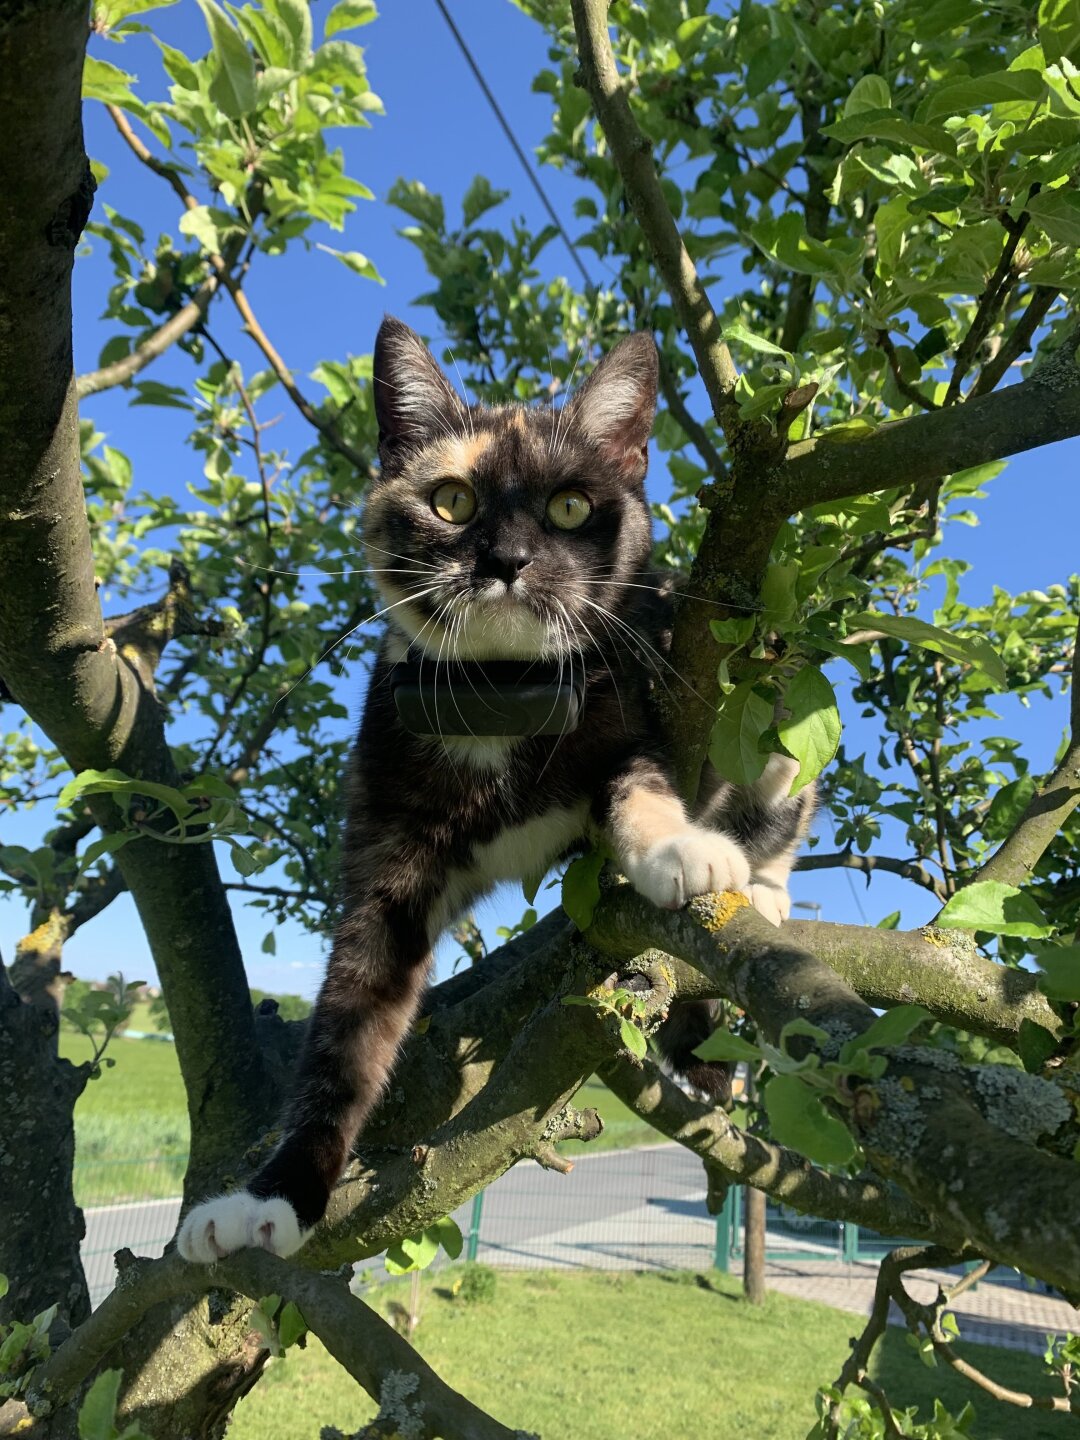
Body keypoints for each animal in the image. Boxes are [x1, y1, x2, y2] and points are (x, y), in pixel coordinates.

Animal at [180, 318, 812, 1261]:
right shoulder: (387, 869)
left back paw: (762, 899)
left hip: (771, 717)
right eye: (451, 501)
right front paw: (274, 1195)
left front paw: (677, 846)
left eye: (570, 507)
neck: (501, 692)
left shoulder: (640, 706)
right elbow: (343, 1041)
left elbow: (640, 785)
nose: (507, 559)